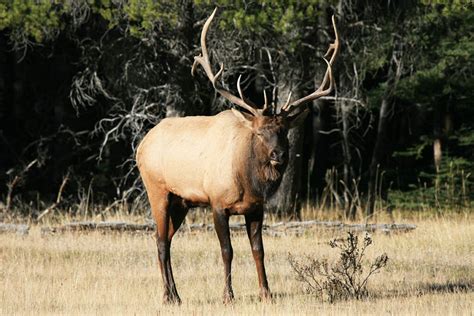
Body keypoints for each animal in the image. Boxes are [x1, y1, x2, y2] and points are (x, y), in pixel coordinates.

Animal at [135, 7, 338, 304]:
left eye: (284, 131)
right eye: (260, 133)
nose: (279, 154)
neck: (248, 181)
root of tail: (141, 145)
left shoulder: (256, 208)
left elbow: (259, 250)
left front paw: (266, 293)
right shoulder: (217, 203)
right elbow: (227, 250)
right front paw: (227, 295)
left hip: (181, 201)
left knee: (166, 238)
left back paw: (177, 294)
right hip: (157, 189)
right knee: (160, 240)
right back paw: (167, 297)